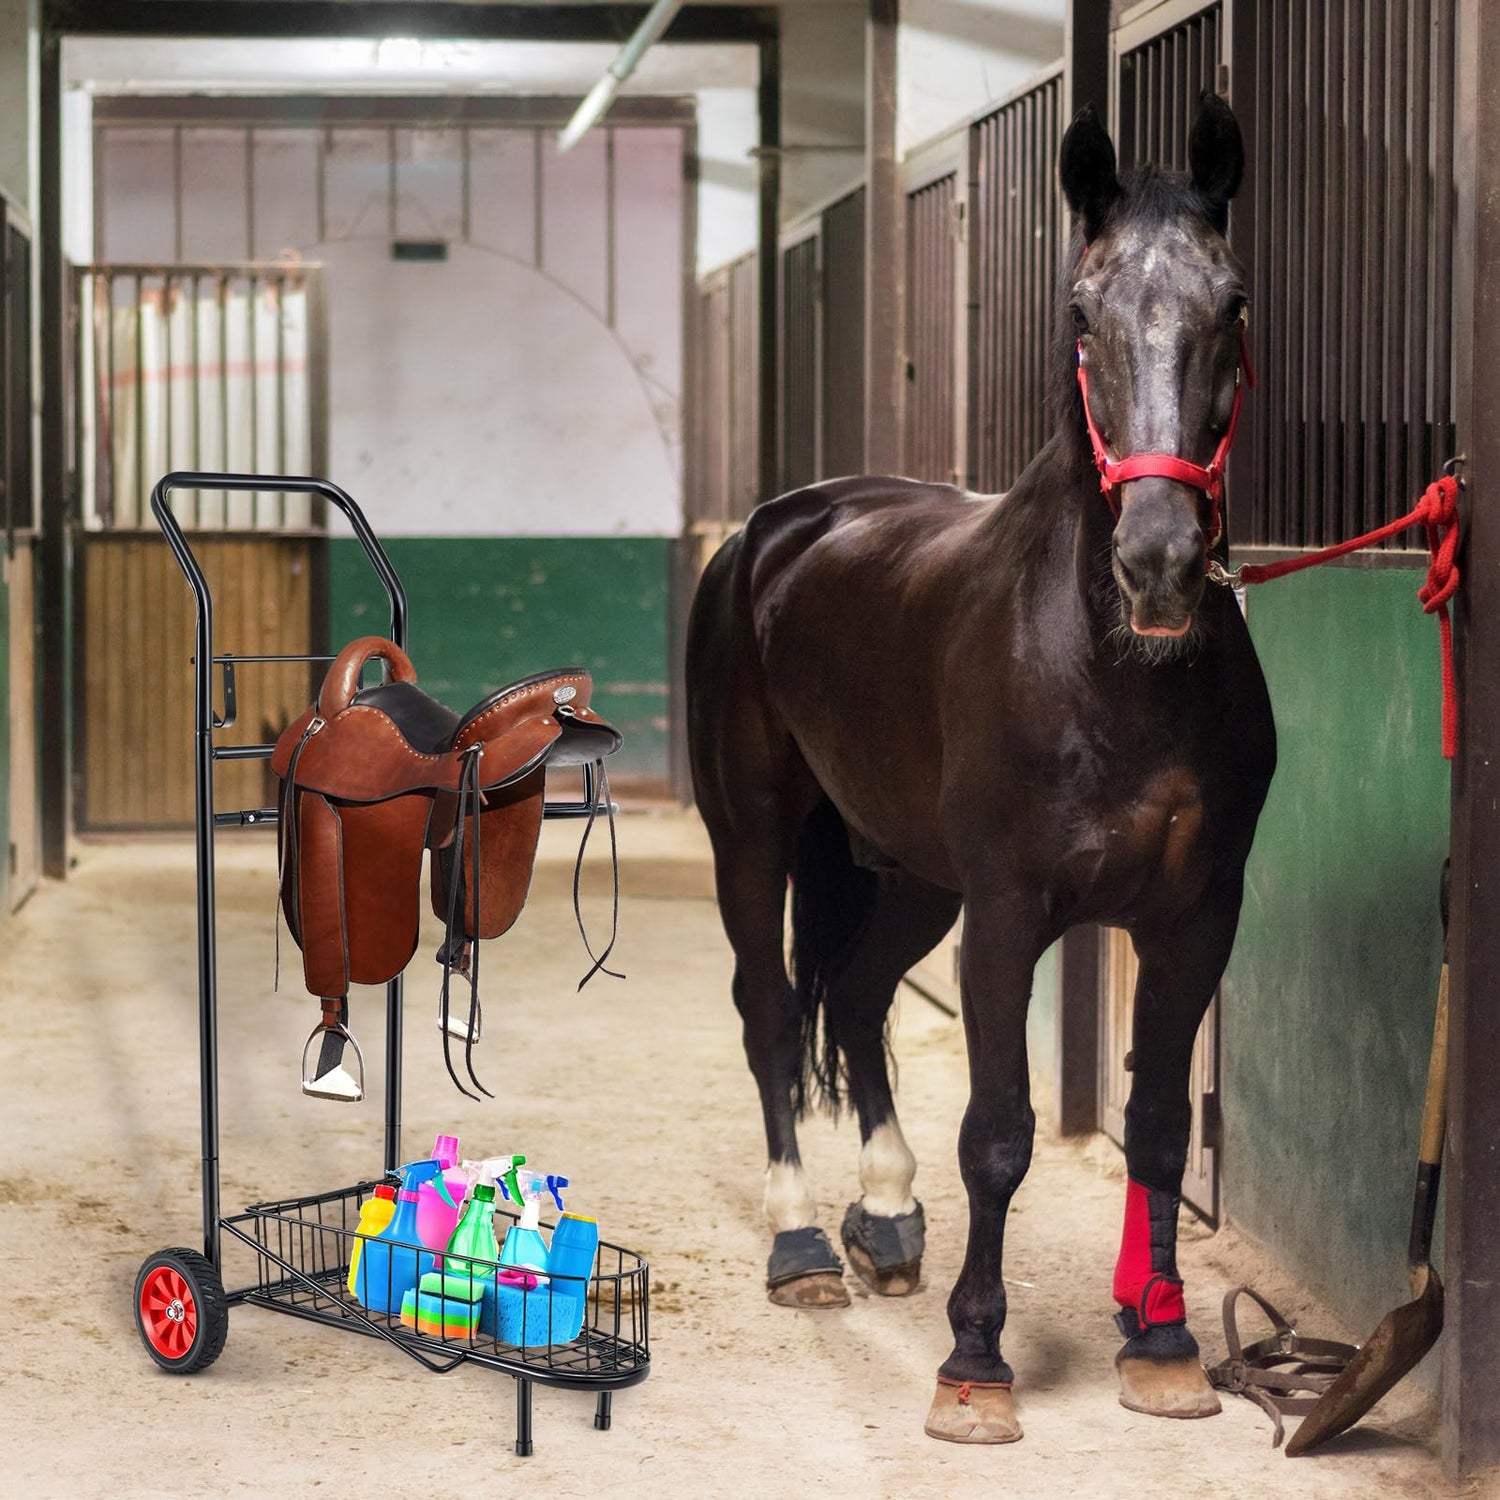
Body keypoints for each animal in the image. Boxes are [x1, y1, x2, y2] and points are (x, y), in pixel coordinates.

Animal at [685, 92, 1276, 1444]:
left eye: (1231, 306)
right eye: (1081, 312)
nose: (1161, 563)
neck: (1117, 670)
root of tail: (773, 530)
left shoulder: (1197, 918)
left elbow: (1156, 1127)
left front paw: (1164, 1344)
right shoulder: (1008, 915)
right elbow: (1001, 1134)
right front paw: (975, 1364)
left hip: (909, 874)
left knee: (853, 996)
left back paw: (886, 1215)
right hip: (753, 835)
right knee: (771, 1010)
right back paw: (802, 1244)